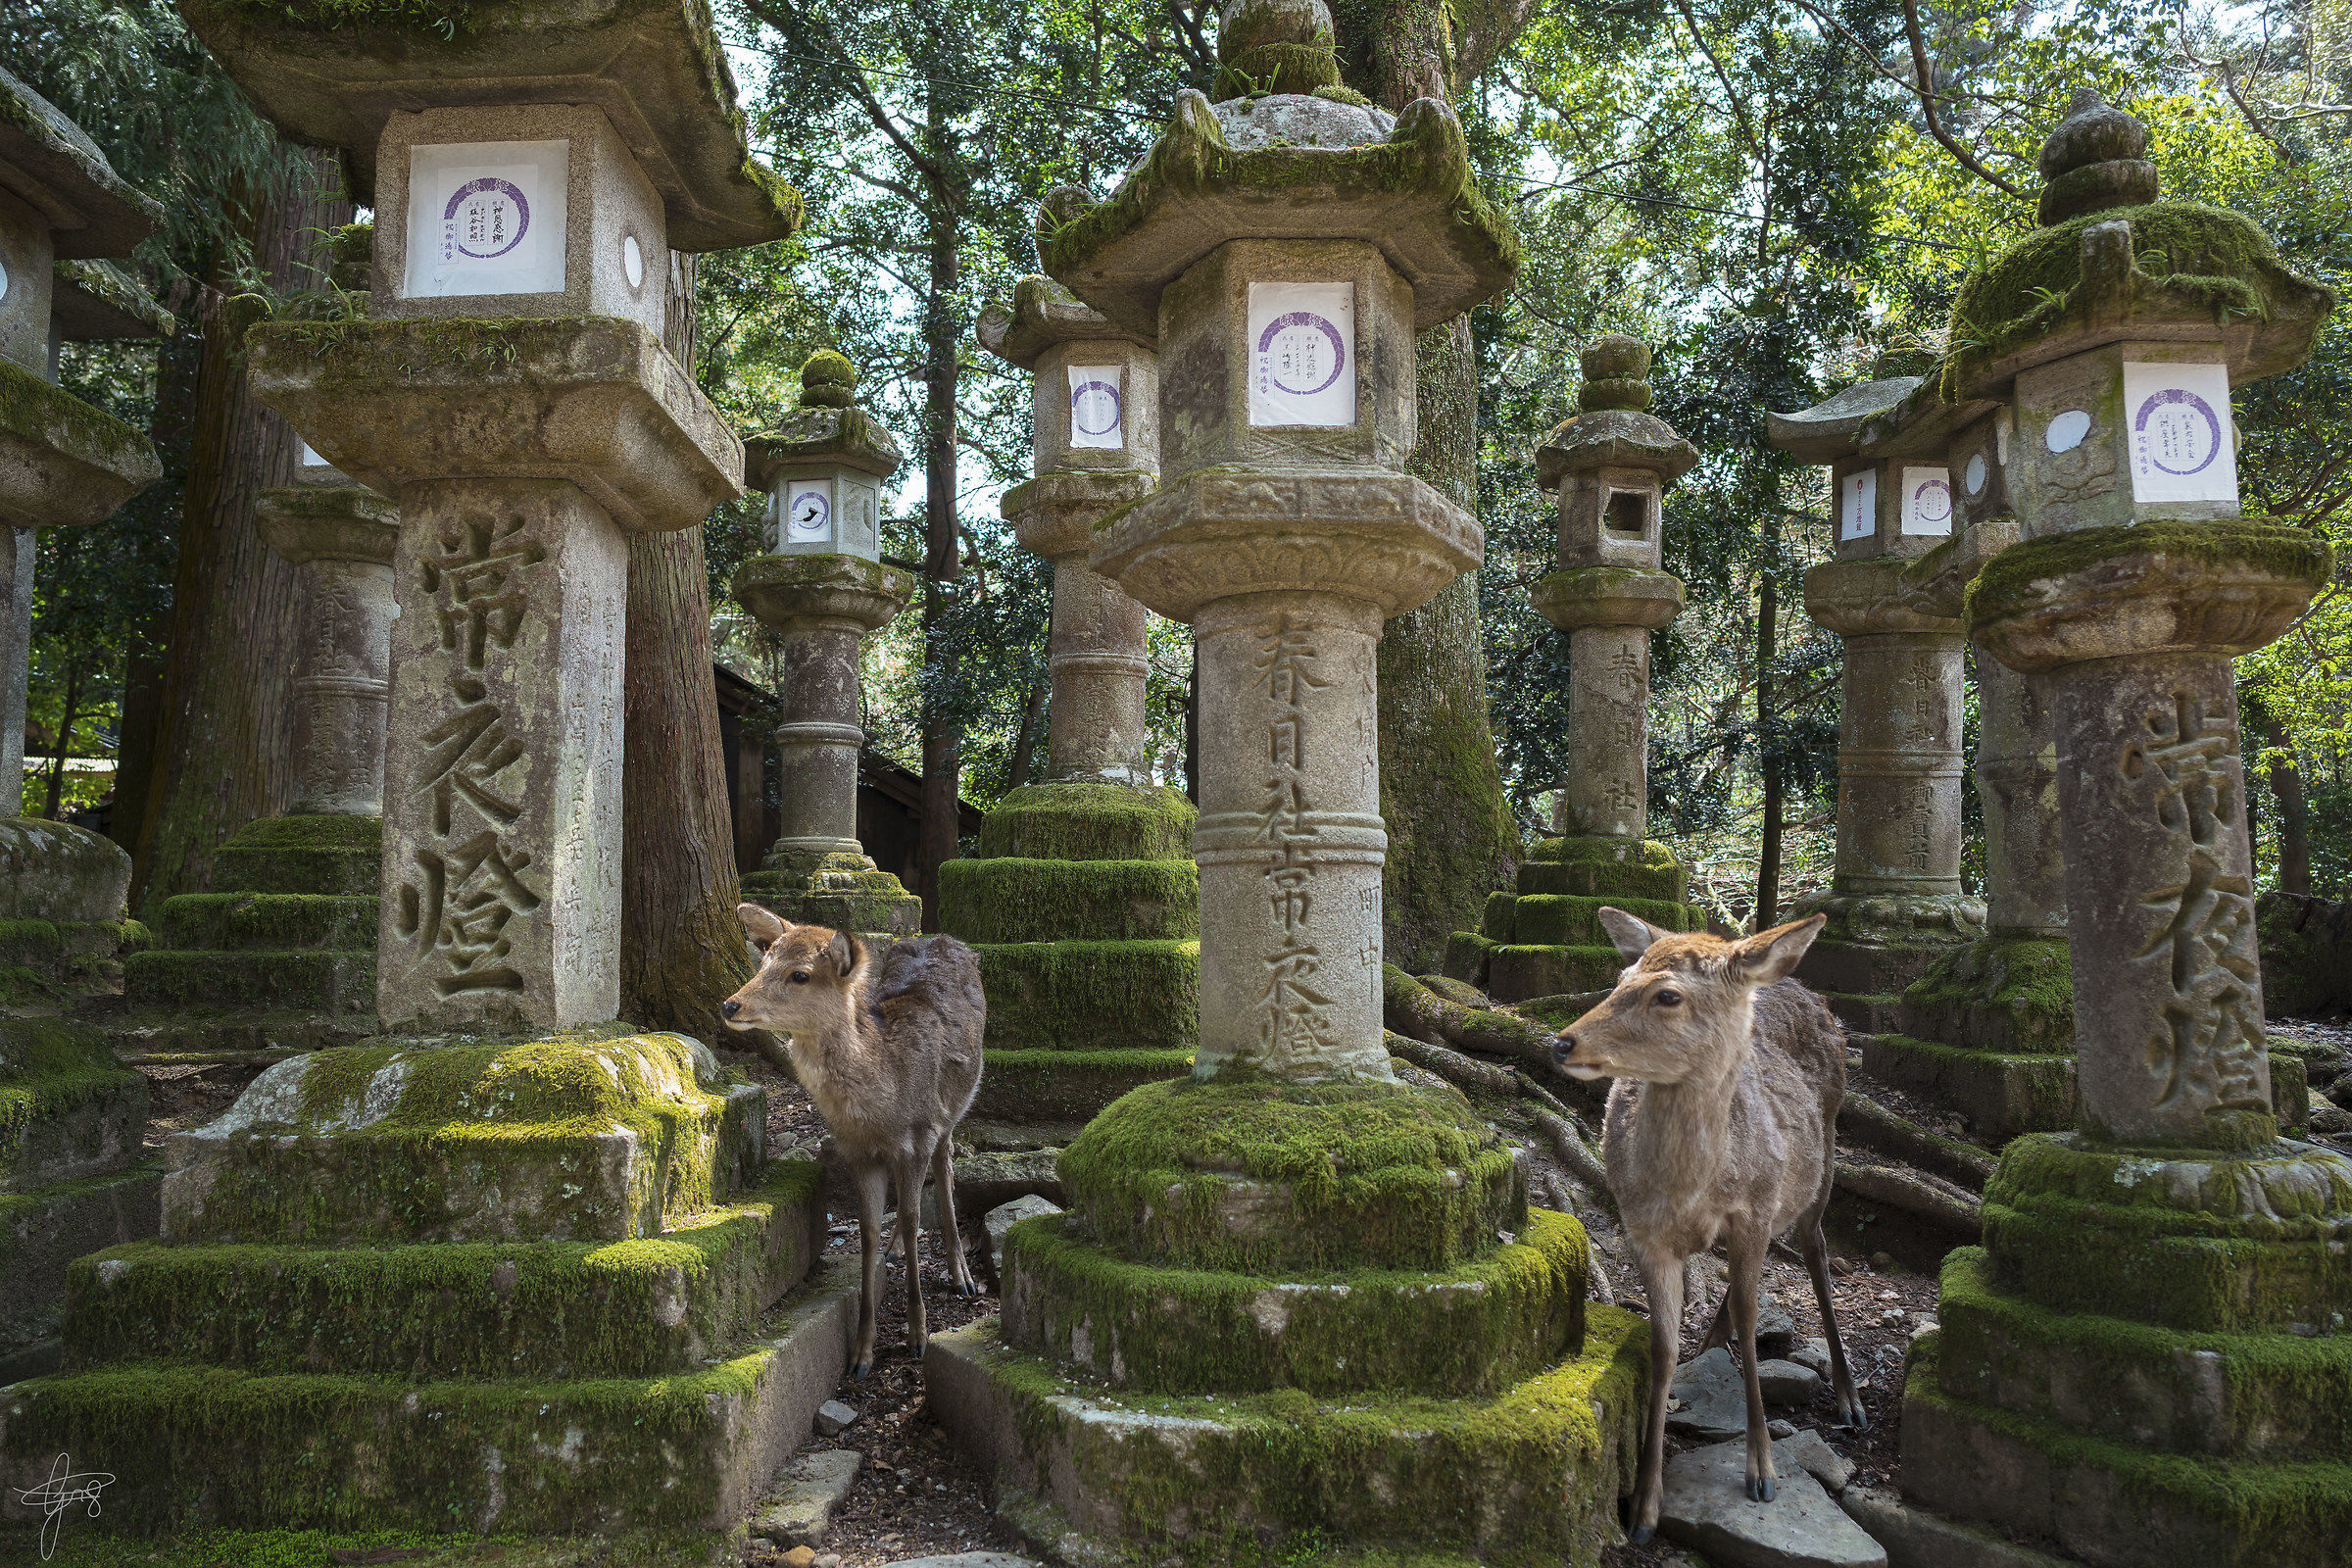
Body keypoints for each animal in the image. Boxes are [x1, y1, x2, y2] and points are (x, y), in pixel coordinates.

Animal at [722, 905, 985, 1378]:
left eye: (801, 975)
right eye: (763, 962)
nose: (730, 1004)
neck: (881, 1111)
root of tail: (947, 938)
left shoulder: (919, 1134)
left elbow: (915, 1219)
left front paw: (917, 1336)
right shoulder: (857, 1153)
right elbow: (867, 1231)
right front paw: (861, 1354)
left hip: (955, 1105)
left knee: (947, 1161)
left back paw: (961, 1274)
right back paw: (900, 1250)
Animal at [1552, 909, 1864, 1545]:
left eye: (1668, 995)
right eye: (1620, 978)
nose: (1561, 1042)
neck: (1691, 1190)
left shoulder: (1755, 1210)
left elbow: (1750, 1320)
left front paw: (1763, 1471)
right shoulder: (1643, 1230)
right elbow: (1662, 1344)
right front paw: (1644, 1506)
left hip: (1822, 1160)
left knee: (1816, 1250)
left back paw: (1848, 1397)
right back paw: (1711, 1339)